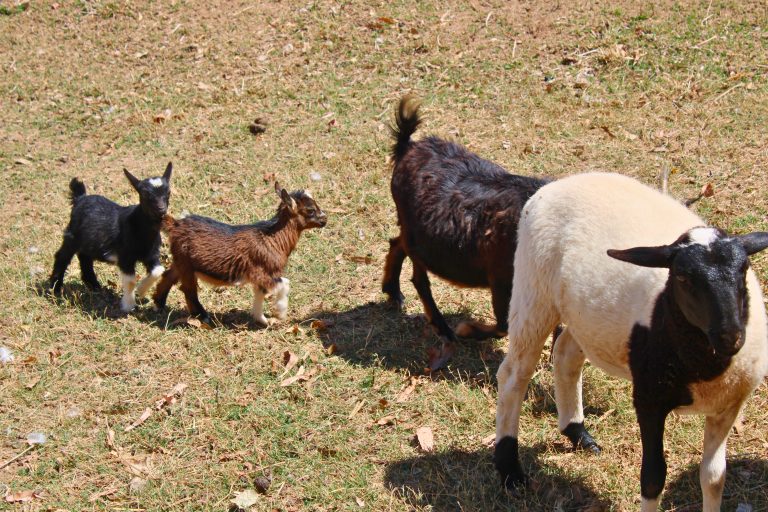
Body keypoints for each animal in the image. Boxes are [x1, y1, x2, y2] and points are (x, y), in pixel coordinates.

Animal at [49, 163, 173, 312]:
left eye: (168, 193)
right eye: (145, 194)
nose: (161, 209)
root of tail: (80, 198)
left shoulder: (151, 254)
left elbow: (159, 271)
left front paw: (141, 291)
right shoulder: (125, 258)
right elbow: (131, 281)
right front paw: (128, 305)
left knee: (84, 256)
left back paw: (93, 285)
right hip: (72, 236)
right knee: (62, 256)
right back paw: (55, 288)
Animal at [152, 183, 327, 326]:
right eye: (310, 210)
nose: (325, 220)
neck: (273, 239)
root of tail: (175, 225)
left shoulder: (260, 277)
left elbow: (260, 294)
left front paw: (262, 320)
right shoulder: (261, 272)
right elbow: (285, 283)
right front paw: (280, 313)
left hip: (180, 261)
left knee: (168, 277)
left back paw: (159, 304)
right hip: (186, 265)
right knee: (188, 290)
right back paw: (203, 317)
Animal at [382, 96, 548, 369]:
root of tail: (408, 146)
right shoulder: (501, 277)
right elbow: (504, 325)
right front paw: (467, 329)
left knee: (397, 244)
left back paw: (393, 292)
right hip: (416, 237)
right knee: (419, 278)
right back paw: (444, 329)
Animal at [494, 172, 768, 511]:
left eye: (744, 270)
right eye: (682, 277)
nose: (730, 335)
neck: (703, 367)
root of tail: (563, 182)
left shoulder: (727, 407)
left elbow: (714, 477)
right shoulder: (649, 400)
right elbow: (653, 477)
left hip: (586, 316)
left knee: (566, 352)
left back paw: (577, 432)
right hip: (534, 290)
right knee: (514, 376)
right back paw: (510, 470)